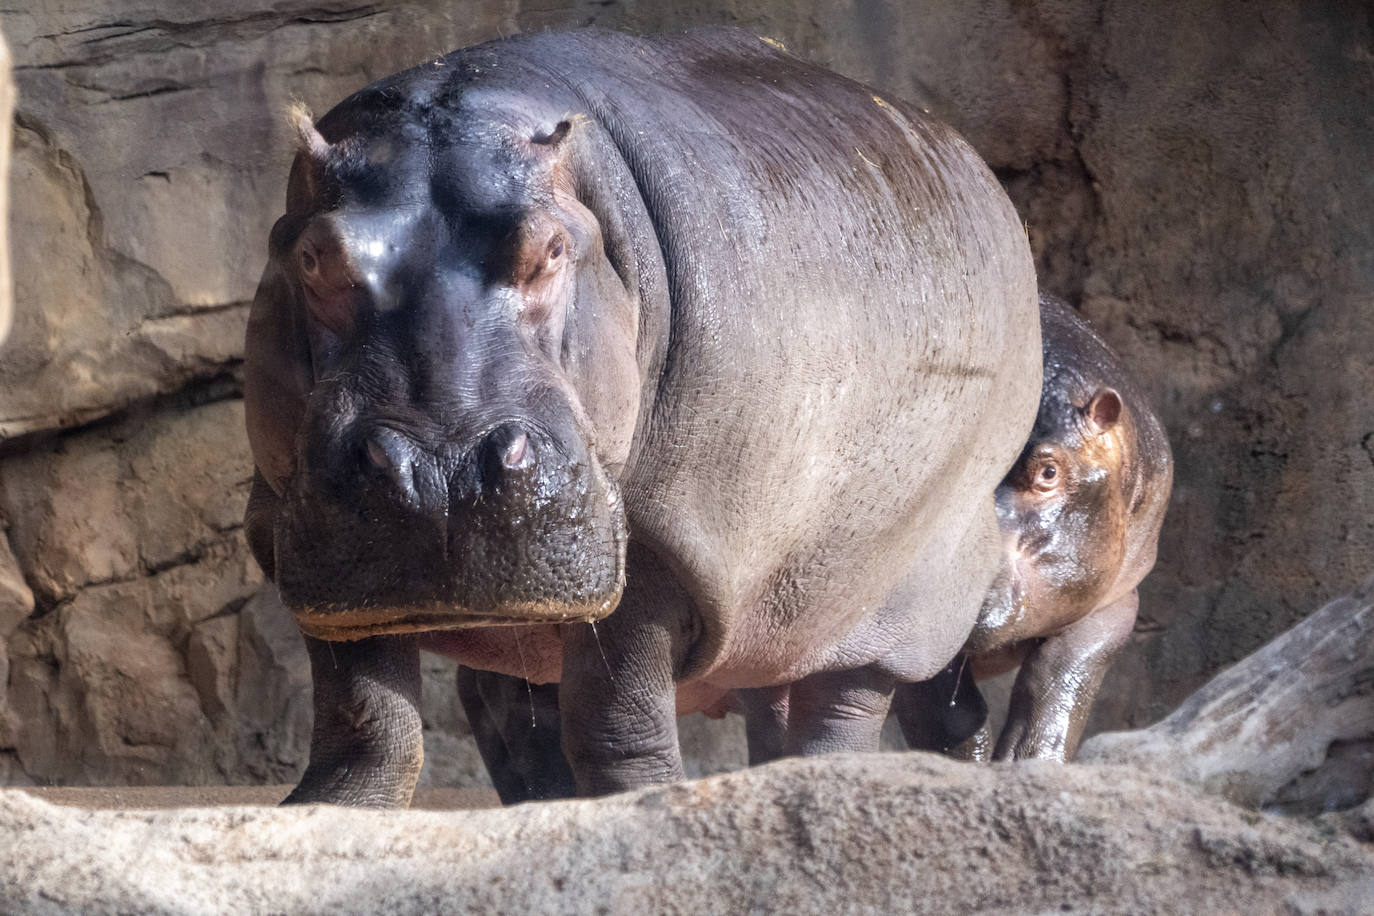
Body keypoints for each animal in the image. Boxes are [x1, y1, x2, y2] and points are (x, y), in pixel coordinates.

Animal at [250, 25, 1038, 807]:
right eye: (313, 255)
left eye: (553, 248)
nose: (443, 474)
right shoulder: (305, 534)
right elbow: (365, 706)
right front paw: (328, 808)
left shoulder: (664, 539)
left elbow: (615, 709)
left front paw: (637, 799)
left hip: (899, 592)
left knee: (845, 703)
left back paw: (829, 781)